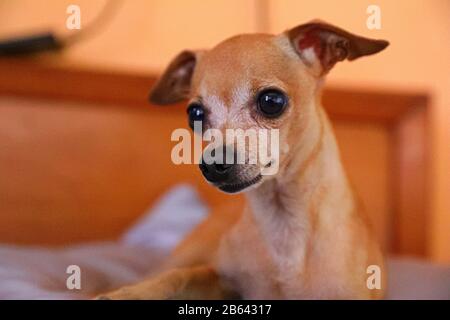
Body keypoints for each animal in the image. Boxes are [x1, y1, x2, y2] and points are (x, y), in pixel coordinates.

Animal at [98, 21, 386, 298]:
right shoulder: (224, 280)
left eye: (271, 101)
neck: (282, 225)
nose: (212, 165)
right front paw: (128, 294)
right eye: (195, 114)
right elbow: (181, 277)